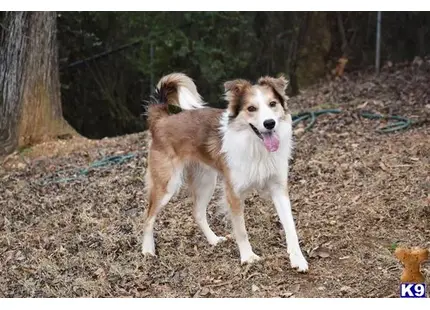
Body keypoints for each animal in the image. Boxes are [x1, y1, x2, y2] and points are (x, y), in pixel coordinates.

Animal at [143, 72, 308, 272]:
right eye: (251, 108)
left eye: (272, 104)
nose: (270, 123)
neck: (255, 144)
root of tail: (161, 119)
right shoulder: (233, 193)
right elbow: (241, 230)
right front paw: (248, 257)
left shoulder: (278, 188)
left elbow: (290, 226)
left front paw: (298, 258)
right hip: (167, 185)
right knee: (148, 217)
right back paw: (147, 250)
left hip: (206, 182)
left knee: (198, 213)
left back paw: (213, 240)